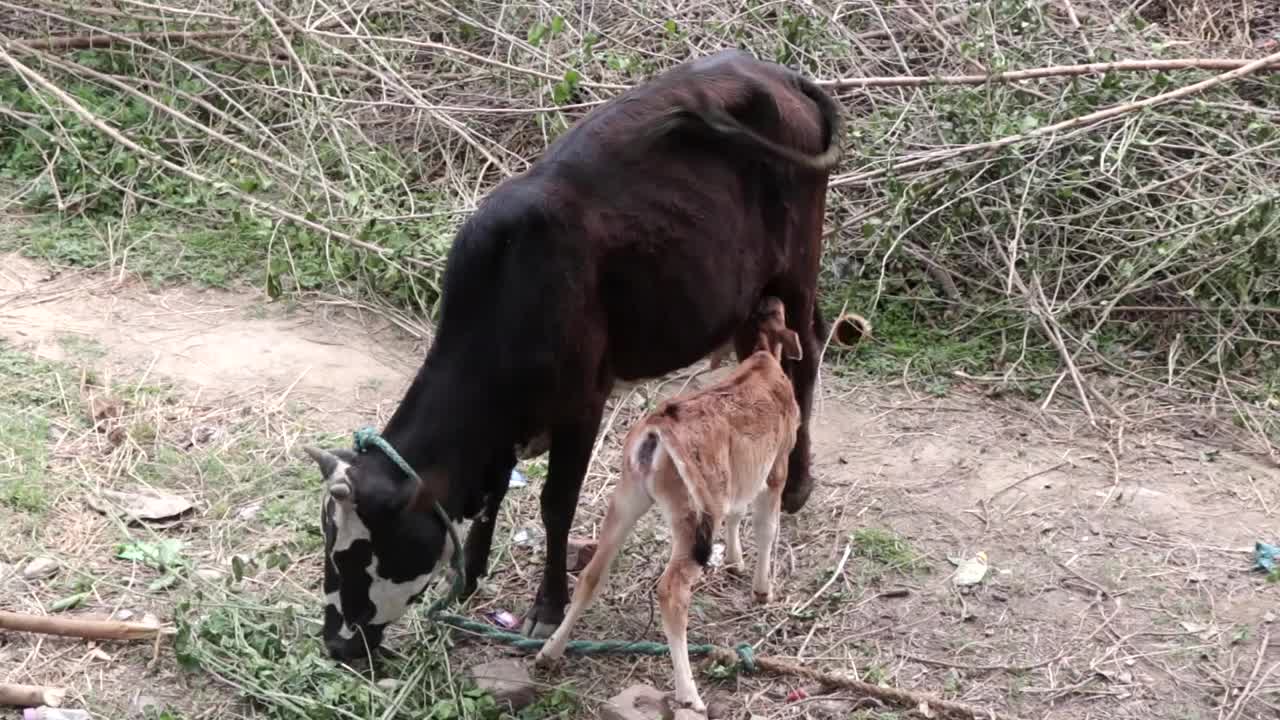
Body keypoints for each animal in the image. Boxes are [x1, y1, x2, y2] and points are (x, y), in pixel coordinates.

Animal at [299, 47, 839, 661]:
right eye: (328, 540)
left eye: (363, 549)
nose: (336, 644)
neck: (507, 286)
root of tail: (779, 73)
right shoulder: (507, 424)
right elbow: (493, 492)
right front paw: (471, 575)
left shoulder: (583, 402)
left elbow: (555, 504)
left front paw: (546, 607)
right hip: (748, 296)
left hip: (798, 267)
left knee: (806, 357)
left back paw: (796, 484)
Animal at [537, 295, 798, 707]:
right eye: (777, 314)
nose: (774, 298)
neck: (761, 360)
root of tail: (658, 430)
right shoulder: (777, 466)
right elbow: (766, 526)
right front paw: (762, 589)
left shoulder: (738, 480)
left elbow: (738, 512)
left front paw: (736, 562)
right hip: (691, 515)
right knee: (671, 593)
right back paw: (688, 693)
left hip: (628, 496)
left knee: (592, 574)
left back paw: (549, 652)